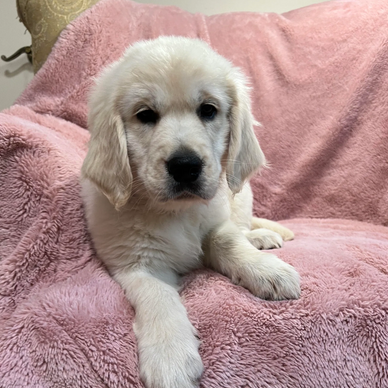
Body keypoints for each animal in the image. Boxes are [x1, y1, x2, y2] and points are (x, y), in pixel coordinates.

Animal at [81, 35, 300, 388]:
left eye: (208, 110)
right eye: (145, 115)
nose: (185, 166)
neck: (176, 212)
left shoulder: (217, 220)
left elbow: (229, 241)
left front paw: (266, 269)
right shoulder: (137, 263)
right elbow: (159, 297)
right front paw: (169, 356)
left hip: (242, 193)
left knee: (243, 225)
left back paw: (262, 237)